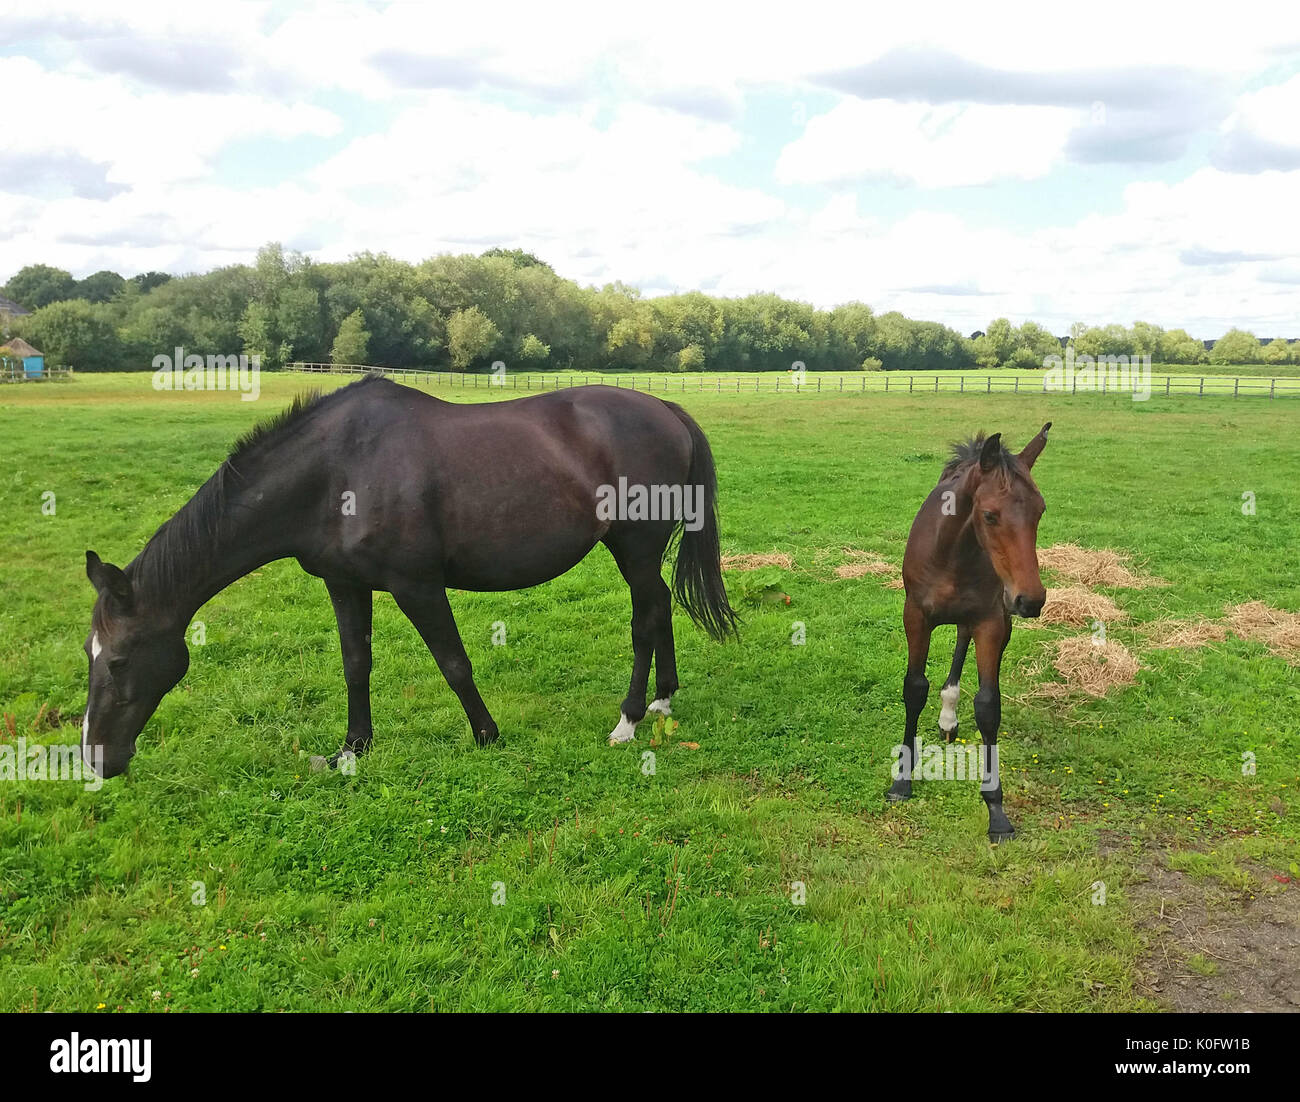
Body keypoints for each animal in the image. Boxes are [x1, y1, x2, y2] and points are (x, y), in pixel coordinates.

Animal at [80, 375, 738, 778]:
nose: (95, 759)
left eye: (119, 660)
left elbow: (453, 662)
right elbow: (355, 663)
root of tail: (666, 409)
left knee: (645, 618)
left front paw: (487, 735)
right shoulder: (344, 584)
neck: (336, 470)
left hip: (635, 548)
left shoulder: (416, 585)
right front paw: (353, 748)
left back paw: (628, 719)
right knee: (660, 608)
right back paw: (662, 699)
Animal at [886, 423, 1052, 842]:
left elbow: (988, 706)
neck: (952, 554)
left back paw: (949, 714)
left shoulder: (992, 622)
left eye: (1040, 510)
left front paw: (996, 811)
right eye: (990, 515)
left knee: (962, 640)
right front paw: (902, 779)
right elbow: (914, 688)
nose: (1031, 600)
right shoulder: (915, 616)